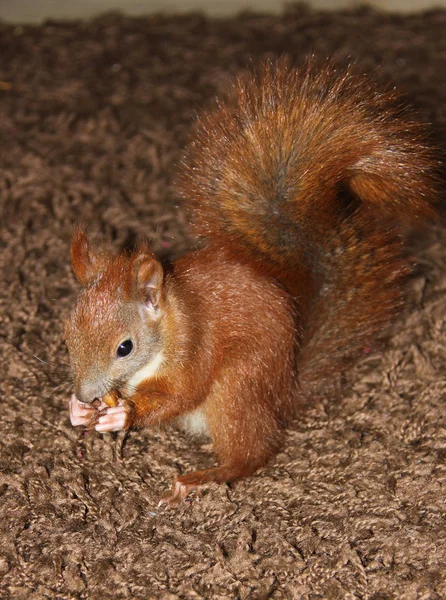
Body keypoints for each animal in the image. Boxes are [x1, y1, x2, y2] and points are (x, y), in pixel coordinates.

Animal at [64, 59, 438, 502]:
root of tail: (285, 392)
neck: (169, 323)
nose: (85, 393)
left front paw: (123, 413)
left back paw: (202, 477)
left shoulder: (196, 345)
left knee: (252, 452)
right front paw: (78, 411)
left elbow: (182, 393)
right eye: (67, 336)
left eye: (125, 347)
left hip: (238, 387)